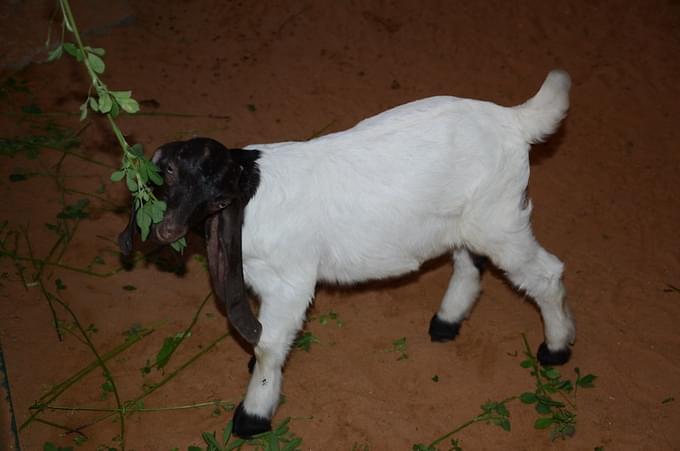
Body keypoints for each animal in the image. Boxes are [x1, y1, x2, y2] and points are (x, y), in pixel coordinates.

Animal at [118, 70, 572, 438]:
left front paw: (252, 415)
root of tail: (514, 120)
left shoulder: (290, 282)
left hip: (499, 219)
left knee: (546, 273)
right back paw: (447, 321)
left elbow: (267, 345)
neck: (253, 192)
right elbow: (266, 337)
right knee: (469, 263)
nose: (167, 229)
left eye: (217, 196)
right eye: (167, 174)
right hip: (466, 221)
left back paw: (556, 348)